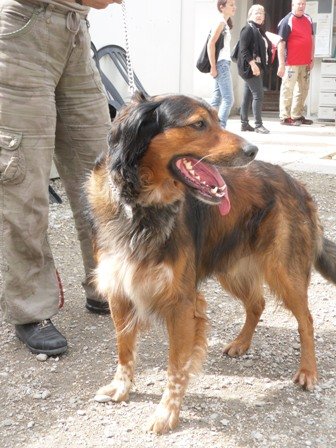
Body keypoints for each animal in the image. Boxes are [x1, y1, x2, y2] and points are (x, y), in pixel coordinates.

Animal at [86, 93, 336, 434]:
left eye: (219, 120)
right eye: (198, 124)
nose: (252, 150)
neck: (142, 207)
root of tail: (295, 182)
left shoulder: (181, 301)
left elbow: (176, 367)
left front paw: (167, 412)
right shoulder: (119, 289)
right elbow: (124, 348)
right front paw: (122, 388)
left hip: (283, 270)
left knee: (306, 320)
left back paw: (308, 371)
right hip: (232, 269)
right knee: (257, 303)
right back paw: (241, 343)